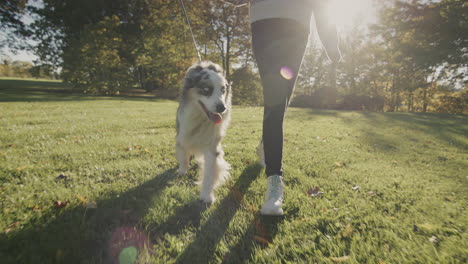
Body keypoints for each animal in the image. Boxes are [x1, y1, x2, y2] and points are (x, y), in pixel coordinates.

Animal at [176, 62, 232, 204]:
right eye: (206, 90)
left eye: (223, 90)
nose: (222, 108)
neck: (201, 118)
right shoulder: (182, 134)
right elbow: (183, 154)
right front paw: (183, 169)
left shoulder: (212, 146)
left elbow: (210, 173)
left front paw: (206, 196)